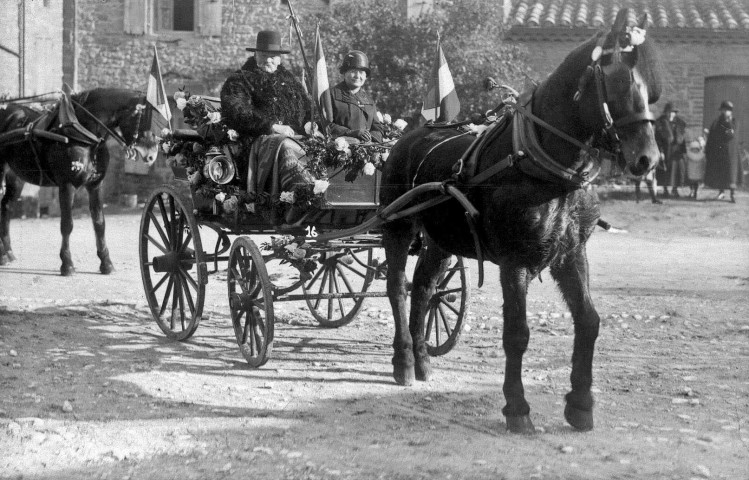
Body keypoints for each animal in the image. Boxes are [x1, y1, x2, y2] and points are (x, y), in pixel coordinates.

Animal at [0, 88, 159, 276]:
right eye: (144, 119)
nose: (152, 155)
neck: (84, 134)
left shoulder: (95, 186)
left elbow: (99, 223)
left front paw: (106, 263)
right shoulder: (67, 186)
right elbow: (67, 225)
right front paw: (67, 264)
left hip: (15, 177)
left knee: (6, 206)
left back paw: (8, 253)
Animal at [380, 9, 660, 434]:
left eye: (650, 85)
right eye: (618, 80)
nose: (648, 158)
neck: (543, 165)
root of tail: (409, 136)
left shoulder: (571, 255)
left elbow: (589, 321)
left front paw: (580, 404)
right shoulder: (515, 261)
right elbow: (517, 333)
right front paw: (517, 407)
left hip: (441, 238)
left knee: (425, 288)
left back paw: (424, 358)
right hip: (397, 226)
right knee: (397, 288)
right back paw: (405, 360)